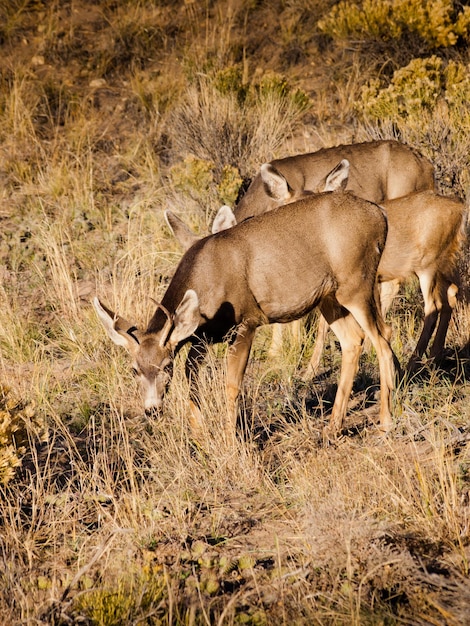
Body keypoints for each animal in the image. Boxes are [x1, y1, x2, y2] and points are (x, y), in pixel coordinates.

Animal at [94, 173, 396, 436]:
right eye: (134, 369)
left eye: (166, 366)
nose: (152, 409)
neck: (206, 279)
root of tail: (380, 215)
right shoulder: (203, 337)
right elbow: (192, 380)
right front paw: (200, 435)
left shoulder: (245, 322)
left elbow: (231, 385)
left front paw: (231, 439)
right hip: (329, 296)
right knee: (353, 340)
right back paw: (333, 427)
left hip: (357, 281)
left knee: (382, 337)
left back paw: (385, 423)